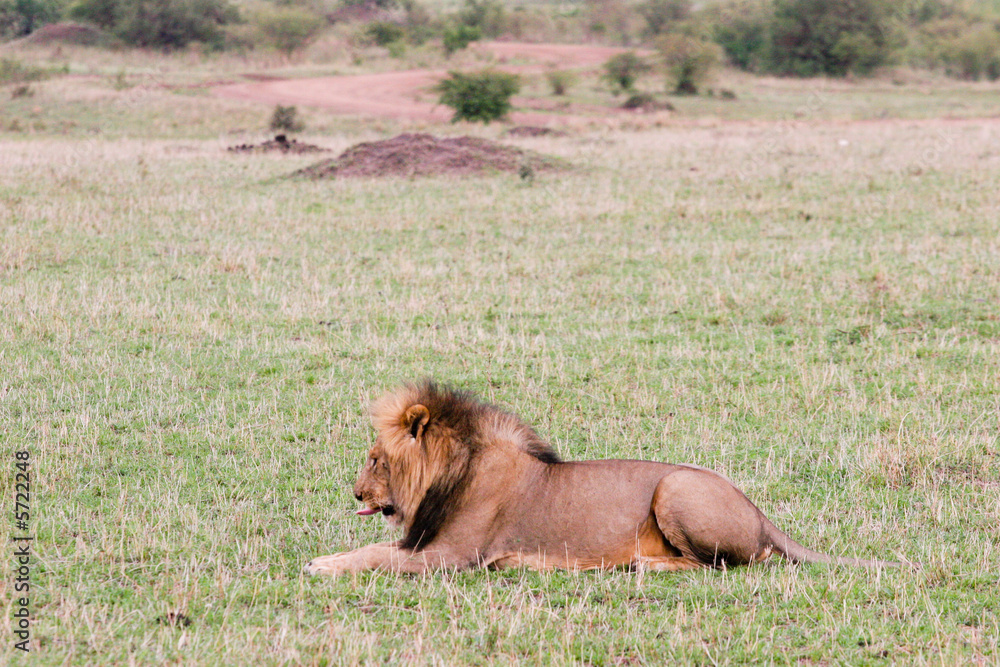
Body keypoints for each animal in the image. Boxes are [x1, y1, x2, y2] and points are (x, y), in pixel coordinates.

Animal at [305, 381, 900, 575]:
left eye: (376, 459)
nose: (355, 493)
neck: (455, 470)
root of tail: (759, 511)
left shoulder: (450, 556)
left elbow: (375, 555)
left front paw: (319, 565)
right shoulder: (427, 544)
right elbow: (376, 547)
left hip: (676, 487)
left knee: (727, 564)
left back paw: (640, 564)